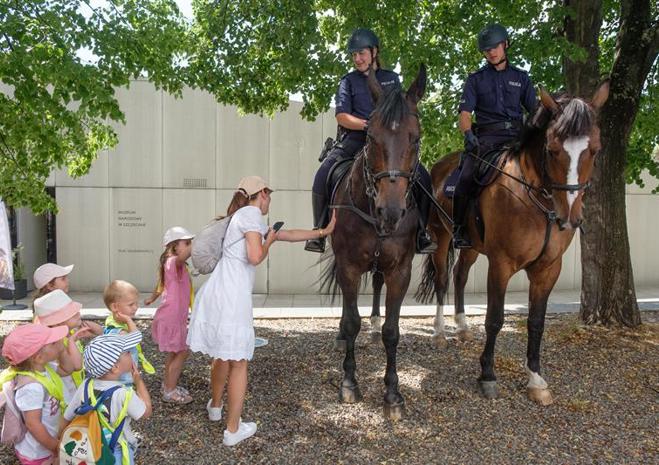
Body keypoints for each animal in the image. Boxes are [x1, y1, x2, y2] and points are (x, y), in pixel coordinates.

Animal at [322, 65, 427, 420]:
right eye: (370, 137)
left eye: (416, 137)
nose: (390, 212)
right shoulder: (349, 266)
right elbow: (350, 319)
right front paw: (349, 382)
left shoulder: (400, 270)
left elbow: (392, 332)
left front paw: (393, 393)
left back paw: (374, 321)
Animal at [416, 81, 610, 405]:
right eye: (552, 150)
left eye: (594, 150)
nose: (569, 217)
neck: (536, 200)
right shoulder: (501, 264)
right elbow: (494, 318)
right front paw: (487, 376)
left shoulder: (548, 269)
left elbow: (536, 321)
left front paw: (536, 380)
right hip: (441, 238)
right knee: (443, 281)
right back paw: (440, 333)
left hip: (471, 246)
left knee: (460, 277)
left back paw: (462, 327)